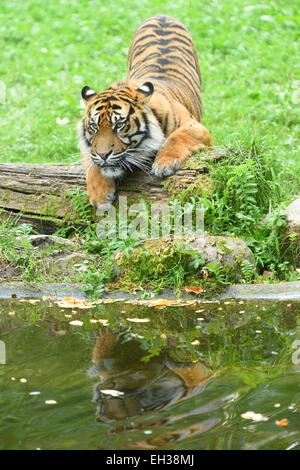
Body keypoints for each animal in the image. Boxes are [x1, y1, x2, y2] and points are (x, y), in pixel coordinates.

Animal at [77, 14, 213, 209]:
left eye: (119, 125)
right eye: (94, 127)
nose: (103, 155)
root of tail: (161, 15)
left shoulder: (196, 127)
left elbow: (178, 137)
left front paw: (164, 163)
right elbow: (90, 160)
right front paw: (100, 195)